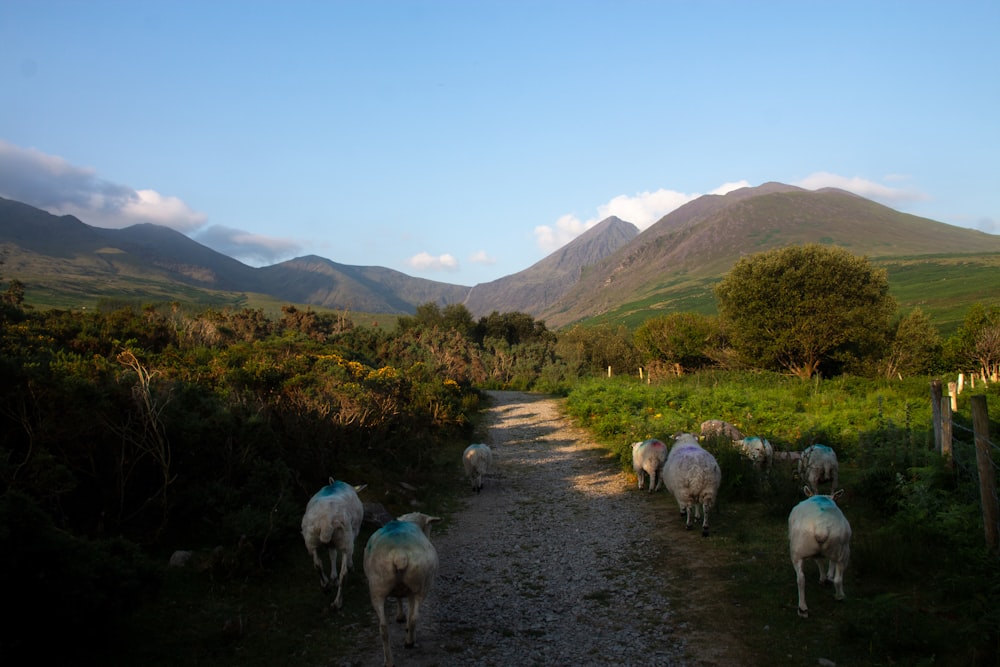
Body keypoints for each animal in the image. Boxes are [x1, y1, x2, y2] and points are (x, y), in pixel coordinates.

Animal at [304, 480, 372, 612]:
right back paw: (337, 603)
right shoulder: (354, 532)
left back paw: (325, 585)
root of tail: (326, 521)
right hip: (345, 539)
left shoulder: (331, 543)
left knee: (317, 563)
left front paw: (333, 578)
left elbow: (332, 555)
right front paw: (349, 566)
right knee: (344, 574)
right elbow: (339, 556)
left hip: (311, 540)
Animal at [360, 512, 438, 667]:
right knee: (413, 617)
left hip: (378, 588)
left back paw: (390, 659)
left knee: (384, 627)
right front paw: (402, 618)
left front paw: (400, 616)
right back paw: (408, 642)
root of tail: (400, 554)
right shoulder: (410, 590)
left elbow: (398, 598)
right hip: (418, 585)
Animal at [788, 486, 852, 620]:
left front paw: (824, 578)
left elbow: (820, 561)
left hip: (798, 550)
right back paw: (839, 596)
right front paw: (827, 577)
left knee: (801, 578)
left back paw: (803, 609)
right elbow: (827, 562)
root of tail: (821, 528)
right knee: (837, 578)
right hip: (843, 551)